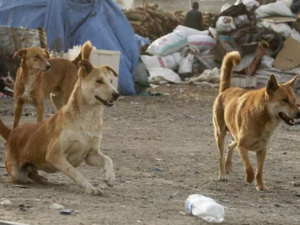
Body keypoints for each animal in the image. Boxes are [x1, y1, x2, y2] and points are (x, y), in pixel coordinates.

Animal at [0, 59, 119, 194]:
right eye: (99, 81)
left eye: (111, 81)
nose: (117, 94)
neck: (88, 118)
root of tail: (12, 133)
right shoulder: (55, 155)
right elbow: (75, 172)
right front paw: (90, 187)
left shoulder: (91, 155)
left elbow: (108, 159)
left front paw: (110, 177)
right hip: (18, 174)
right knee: (26, 175)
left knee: (31, 172)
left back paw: (42, 179)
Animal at [213, 50, 300, 190]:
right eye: (284, 100)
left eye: (294, 100)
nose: (299, 113)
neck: (263, 117)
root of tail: (226, 89)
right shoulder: (242, 147)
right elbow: (250, 168)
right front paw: (249, 179)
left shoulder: (262, 150)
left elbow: (259, 171)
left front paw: (261, 186)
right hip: (220, 134)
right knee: (220, 155)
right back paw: (222, 174)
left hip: (234, 135)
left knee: (230, 145)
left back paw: (228, 165)